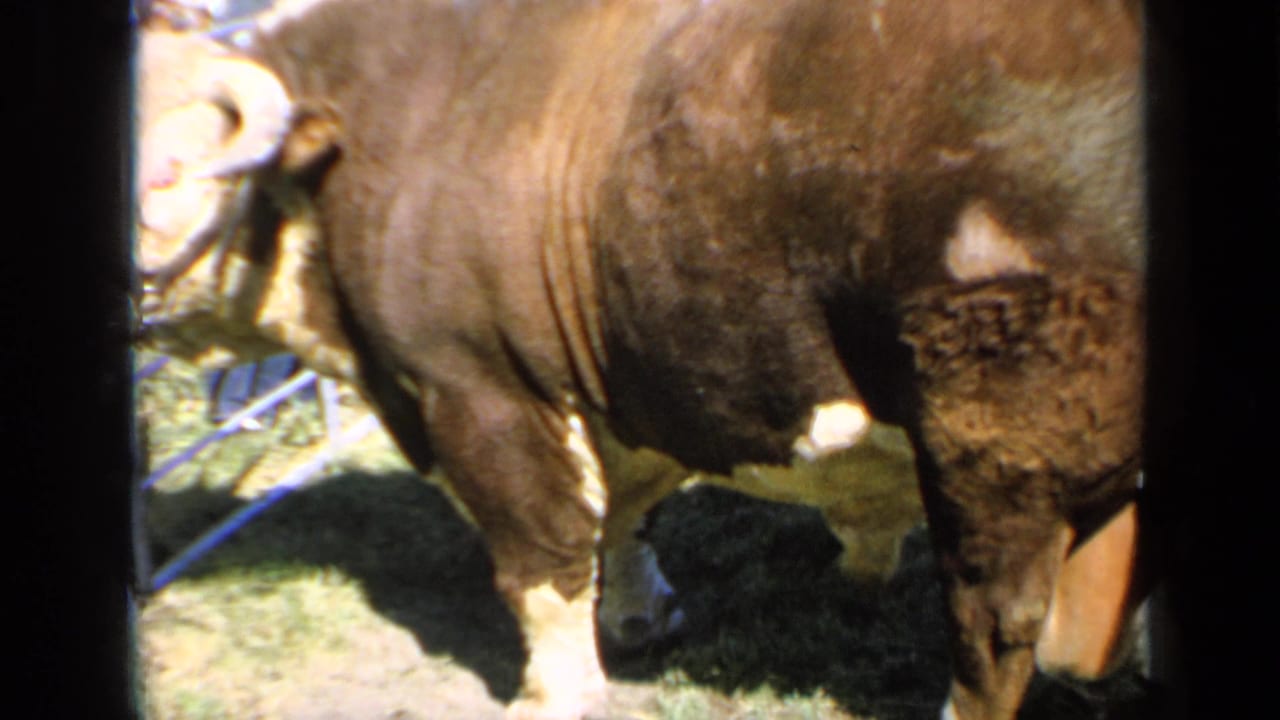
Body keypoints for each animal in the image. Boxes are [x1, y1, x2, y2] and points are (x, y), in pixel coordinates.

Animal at [133, 1, 1149, 719]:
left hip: (997, 450)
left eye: (162, 172)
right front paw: (638, 617)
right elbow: (626, 513)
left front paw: (554, 695)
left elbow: (539, 561)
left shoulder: (479, 391)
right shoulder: (625, 382)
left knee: (995, 630)